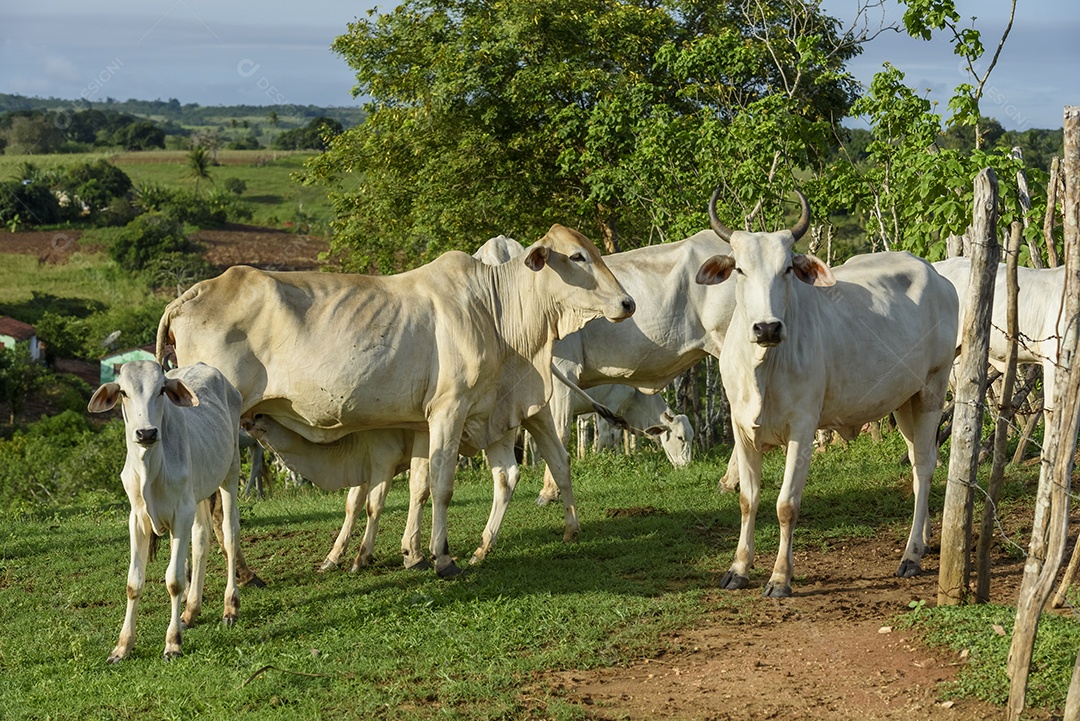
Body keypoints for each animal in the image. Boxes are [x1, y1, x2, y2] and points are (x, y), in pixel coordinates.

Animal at [88, 360, 243, 660]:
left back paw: (230, 607)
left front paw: (173, 643)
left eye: (161, 390)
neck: (150, 467)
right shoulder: (137, 518)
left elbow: (174, 580)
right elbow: (134, 583)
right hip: (198, 494)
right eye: (123, 392)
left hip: (230, 472)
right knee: (202, 539)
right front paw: (122, 646)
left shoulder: (180, 514)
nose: (146, 433)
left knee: (229, 535)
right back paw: (191, 611)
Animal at [158, 223, 630, 574]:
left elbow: (419, 486)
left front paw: (413, 553)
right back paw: (239, 577)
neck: (495, 309)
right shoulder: (449, 409)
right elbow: (440, 485)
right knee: (213, 504)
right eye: (577, 257)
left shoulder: (445, 417)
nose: (628, 302)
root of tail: (188, 296)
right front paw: (441, 558)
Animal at [695, 187, 959, 595]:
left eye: (787, 269)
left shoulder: (803, 429)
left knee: (926, 465)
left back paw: (911, 554)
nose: (767, 327)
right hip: (904, 400)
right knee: (919, 464)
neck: (763, 369)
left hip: (933, 386)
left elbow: (786, 504)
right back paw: (925, 540)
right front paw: (738, 568)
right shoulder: (742, 429)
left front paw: (780, 578)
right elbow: (747, 500)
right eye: (739, 269)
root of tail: (935, 274)